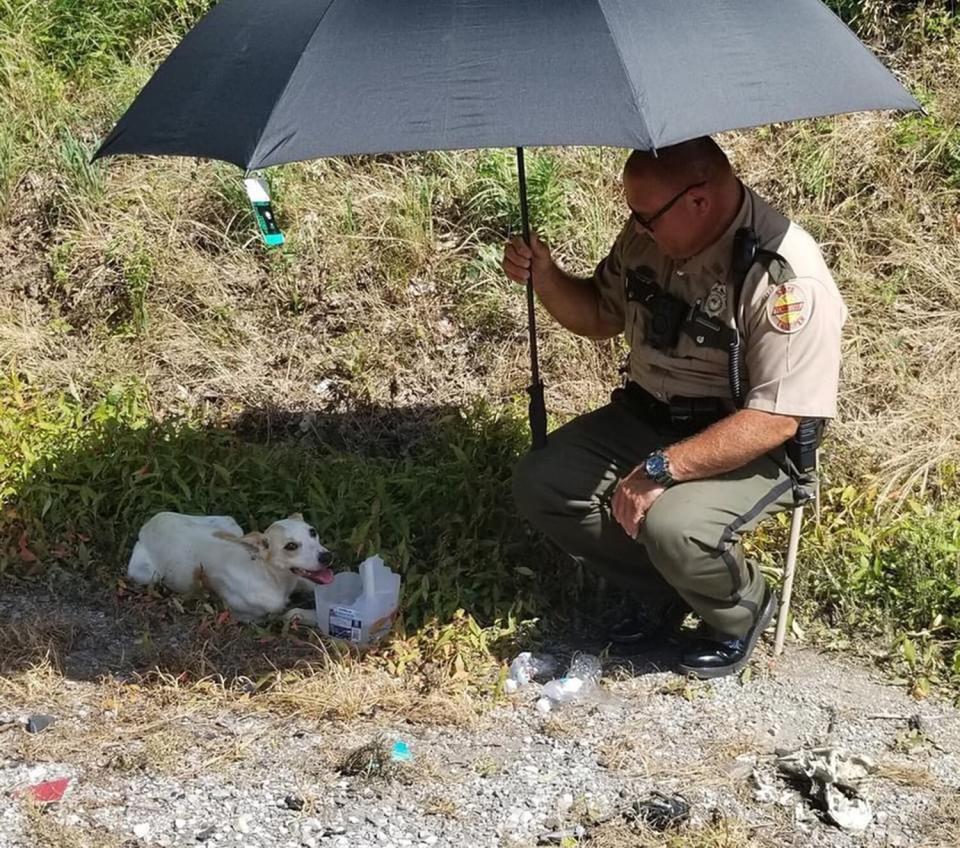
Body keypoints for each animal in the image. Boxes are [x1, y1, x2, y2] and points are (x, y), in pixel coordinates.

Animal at [125, 510, 334, 624]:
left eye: (313, 532)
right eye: (290, 546)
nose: (327, 556)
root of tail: (149, 524)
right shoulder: (251, 617)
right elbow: (291, 613)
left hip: (228, 522)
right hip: (146, 575)